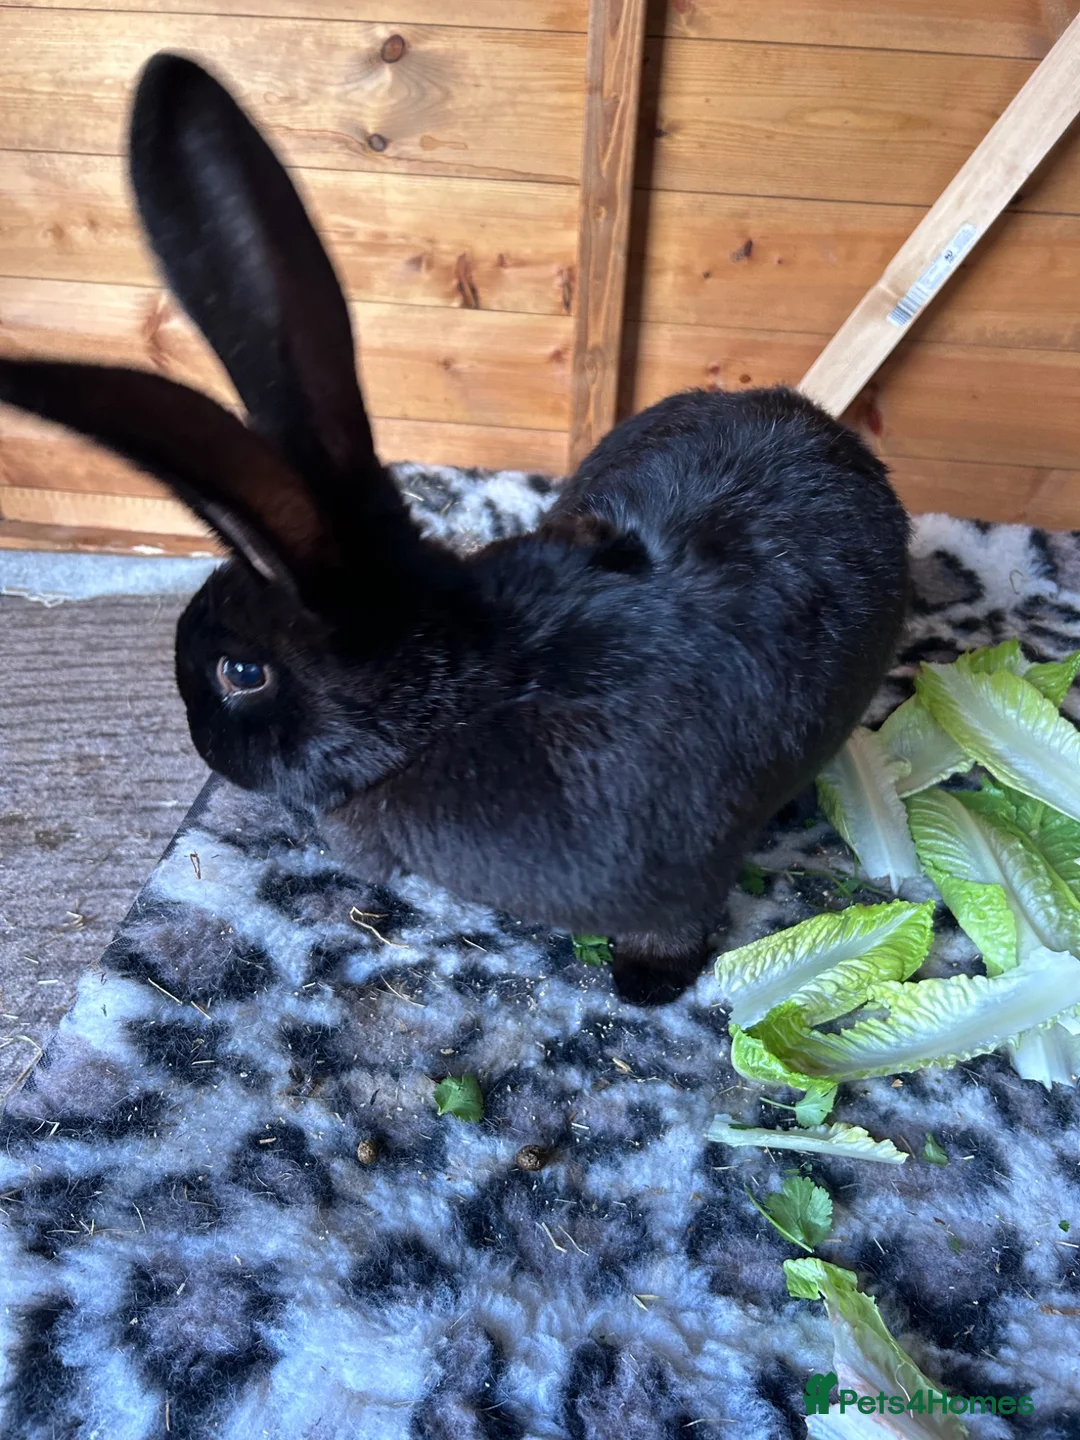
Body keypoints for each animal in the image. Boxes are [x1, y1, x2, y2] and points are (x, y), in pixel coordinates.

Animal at [0, 53, 910, 1004]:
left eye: (239, 674)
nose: (204, 747)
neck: (466, 690)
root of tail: (829, 431)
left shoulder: (675, 882)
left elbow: (671, 929)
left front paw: (645, 985)